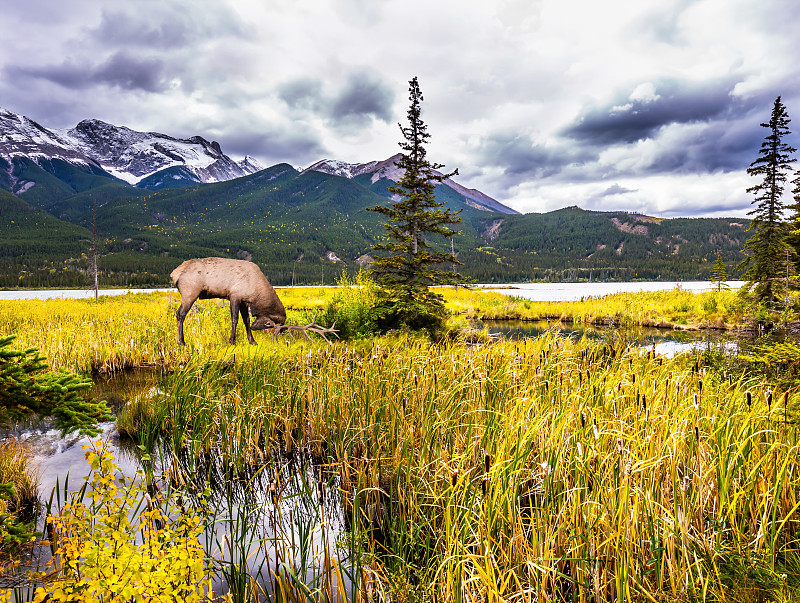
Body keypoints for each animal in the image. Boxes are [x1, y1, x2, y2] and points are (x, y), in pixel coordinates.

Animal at [172, 258, 338, 346]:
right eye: (269, 324)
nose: (256, 326)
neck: (256, 291)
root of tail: (174, 274)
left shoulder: (245, 302)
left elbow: (245, 320)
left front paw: (252, 341)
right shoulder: (235, 296)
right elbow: (235, 319)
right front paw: (232, 341)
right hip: (190, 293)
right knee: (180, 314)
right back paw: (182, 342)